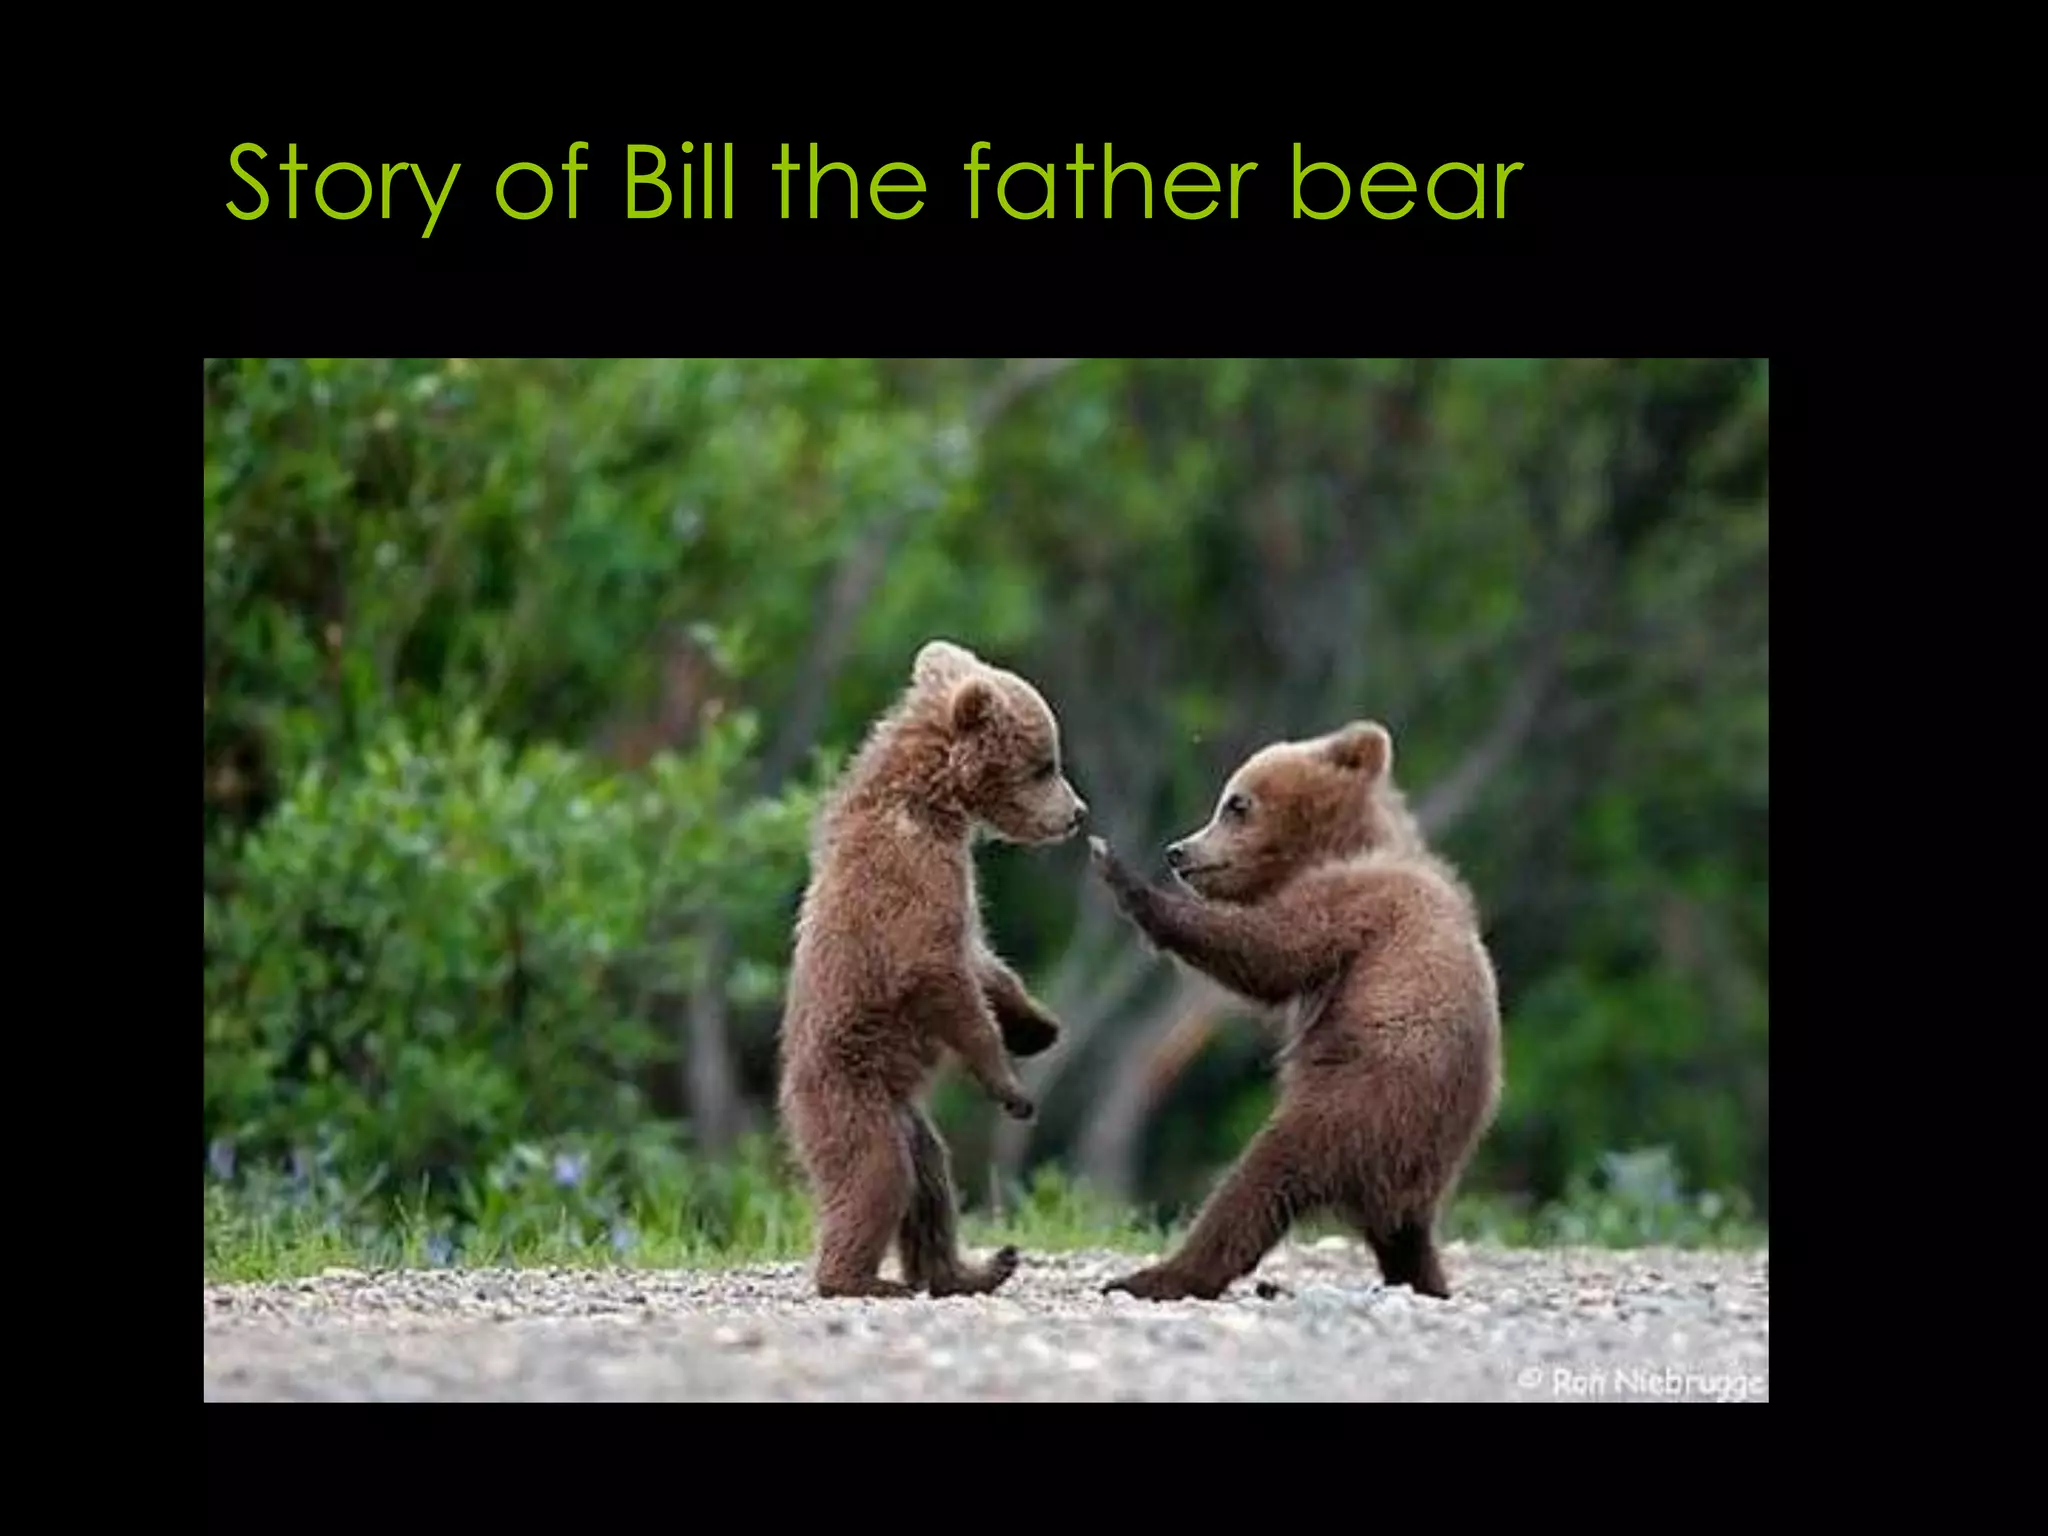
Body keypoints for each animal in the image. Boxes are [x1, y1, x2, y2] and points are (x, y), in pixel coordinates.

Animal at [776, 639, 1089, 1299]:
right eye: (1044, 765)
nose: (1077, 812)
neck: (935, 805)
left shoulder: (957, 886)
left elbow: (982, 959)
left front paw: (1037, 1025)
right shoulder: (910, 877)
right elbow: (936, 972)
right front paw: (1011, 1086)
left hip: (907, 1117)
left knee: (930, 1185)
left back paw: (973, 1268)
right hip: (850, 1094)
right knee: (876, 1177)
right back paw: (861, 1280)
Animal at [1085, 719, 1501, 1301]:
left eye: (1236, 803)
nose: (1178, 851)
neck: (1340, 846)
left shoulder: (1355, 904)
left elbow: (1269, 952)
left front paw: (1120, 873)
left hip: (1358, 1104)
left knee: (1259, 1179)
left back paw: (1157, 1275)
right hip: (1411, 1157)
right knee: (1402, 1236)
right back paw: (1425, 1280)